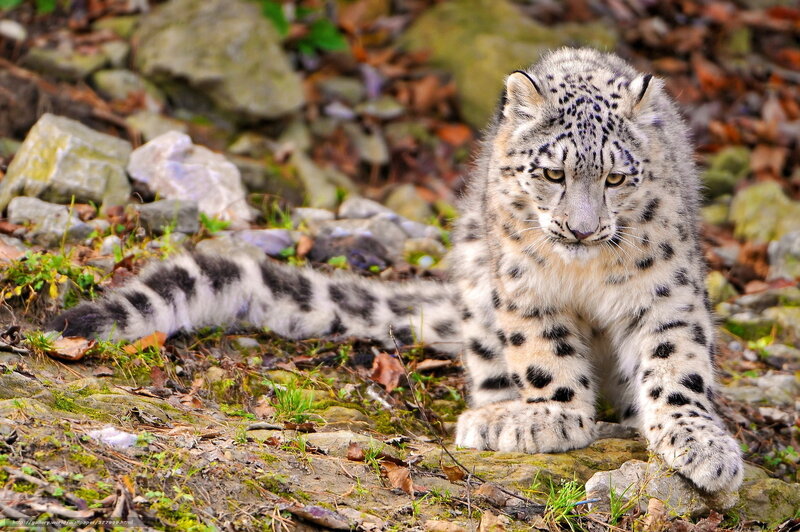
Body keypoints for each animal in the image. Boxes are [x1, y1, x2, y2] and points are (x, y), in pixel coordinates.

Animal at [49, 48, 743, 493]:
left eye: (617, 178)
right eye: (552, 172)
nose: (582, 229)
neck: (583, 275)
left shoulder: (665, 291)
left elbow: (676, 363)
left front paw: (701, 445)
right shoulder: (525, 289)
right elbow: (545, 354)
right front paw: (552, 416)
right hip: (477, 281)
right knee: (489, 361)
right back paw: (494, 416)